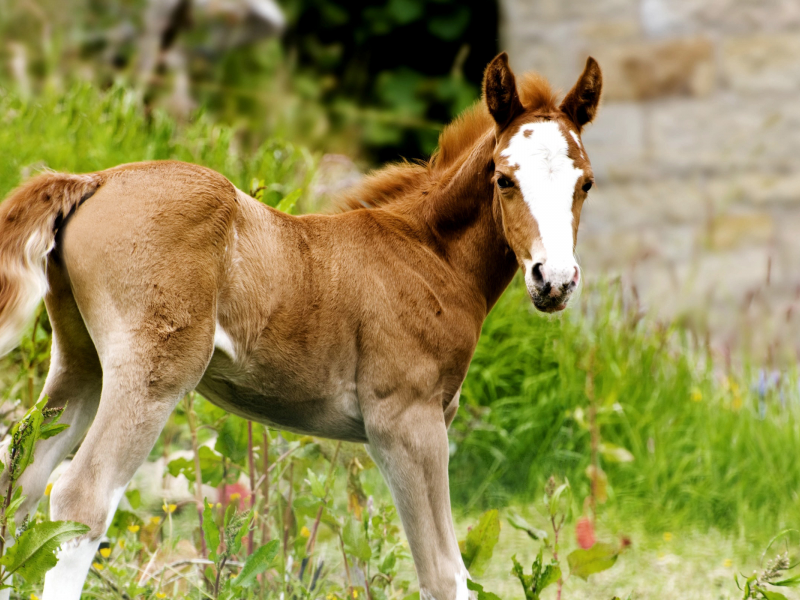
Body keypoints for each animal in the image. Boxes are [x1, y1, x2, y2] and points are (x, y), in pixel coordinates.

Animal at [0, 52, 600, 600]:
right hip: (153, 374)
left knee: (21, 478)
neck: (428, 253)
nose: (554, 280)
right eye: (504, 179)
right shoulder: (407, 422)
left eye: (586, 184)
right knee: (80, 497)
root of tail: (94, 180)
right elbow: (444, 574)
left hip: (81, 364)